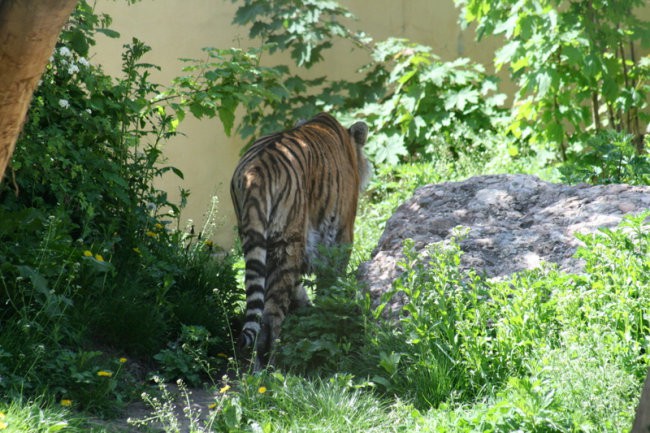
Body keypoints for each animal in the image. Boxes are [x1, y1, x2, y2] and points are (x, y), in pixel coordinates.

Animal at [229, 111, 370, 368]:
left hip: (254, 237)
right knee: (271, 315)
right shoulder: (342, 233)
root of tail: (255, 171)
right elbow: (331, 281)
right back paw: (269, 366)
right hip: (286, 242)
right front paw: (331, 311)